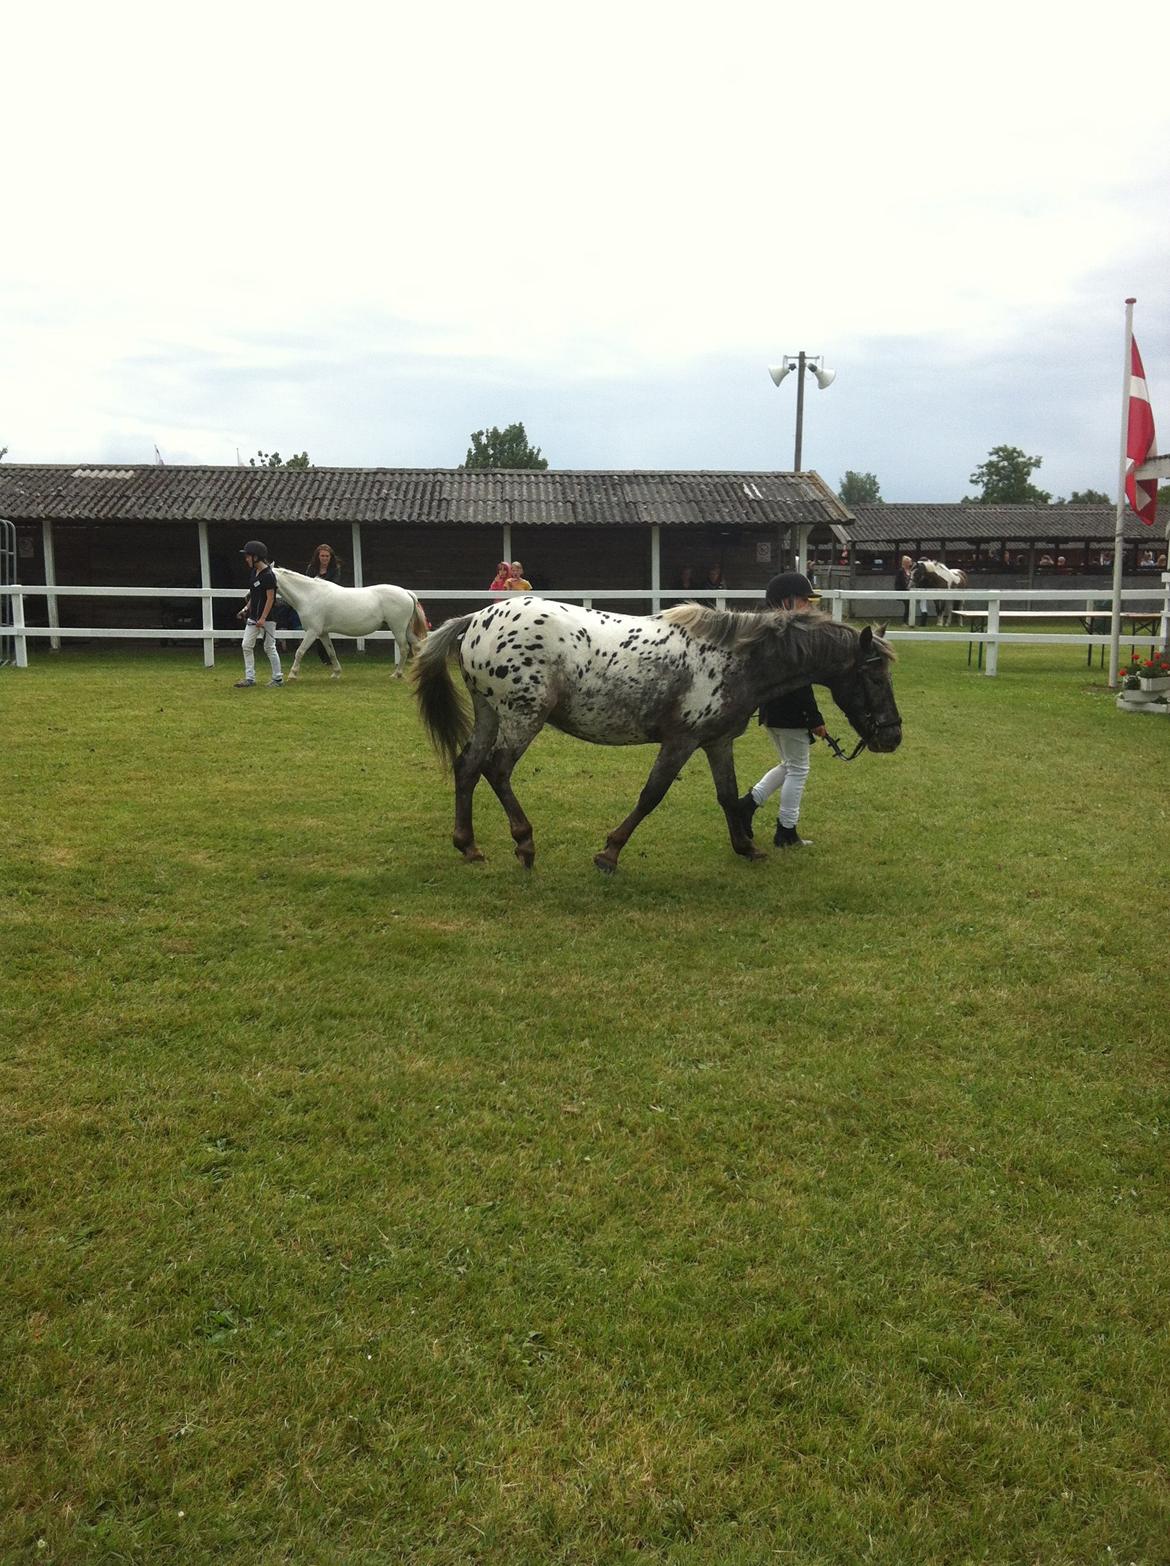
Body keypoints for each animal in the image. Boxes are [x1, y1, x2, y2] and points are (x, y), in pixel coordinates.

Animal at [413, 591, 908, 876]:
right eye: (874, 676)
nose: (892, 737)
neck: (735, 658)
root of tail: (478, 617)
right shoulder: (681, 741)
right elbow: (651, 795)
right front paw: (609, 854)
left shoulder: (716, 741)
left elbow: (728, 796)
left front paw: (746, 847)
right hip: (523, 716)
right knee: (496, 770)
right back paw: (525, 843)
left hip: (490, 713)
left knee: (467, 766)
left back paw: (468, 846)